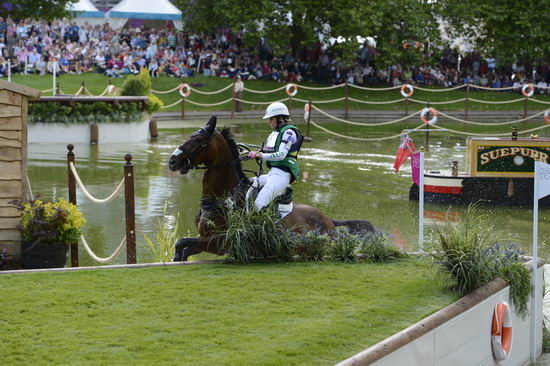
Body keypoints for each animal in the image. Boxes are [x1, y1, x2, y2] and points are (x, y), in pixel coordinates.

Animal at [168, 116, 376, 262]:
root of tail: (329, 221)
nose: (172, 161)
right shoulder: (205, 238)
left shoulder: (220, 242)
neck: (222, 198)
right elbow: (182, 246)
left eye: (198, 139)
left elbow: (182, 242)